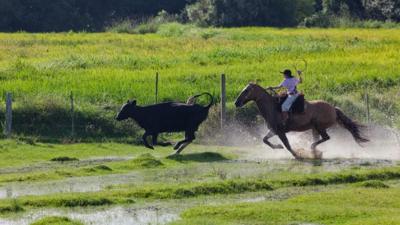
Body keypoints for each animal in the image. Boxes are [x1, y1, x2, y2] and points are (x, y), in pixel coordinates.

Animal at [234, 83, 368, 160]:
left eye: (246, 91)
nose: (236, 103)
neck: (273, 107)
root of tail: (334, 109)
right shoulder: (274, 130)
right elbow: (265, 140)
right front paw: (278, 147)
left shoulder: (280, 132)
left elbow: (287, 145)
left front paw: (297, 154)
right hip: (315, 129)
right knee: (320, 139)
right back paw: (314, 152)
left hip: (319, 127)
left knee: (326, 138)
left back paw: (312, 149)